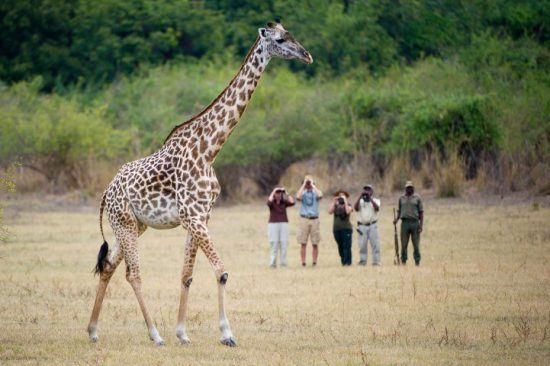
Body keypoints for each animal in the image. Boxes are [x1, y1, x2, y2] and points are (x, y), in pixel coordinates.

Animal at [85, 21, 310, 348]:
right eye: (280, 39)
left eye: (291, 34)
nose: (307, 55)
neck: (209, 150)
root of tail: (106, 191)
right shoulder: (193, 216)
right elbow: (221, 271)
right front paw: (227, 334)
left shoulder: (201, 216)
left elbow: (187, 275)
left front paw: (183, 333)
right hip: (125, 223)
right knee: (133, 273)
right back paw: (155, 335)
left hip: (132, 225)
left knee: (108, 266)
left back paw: (92, 330)